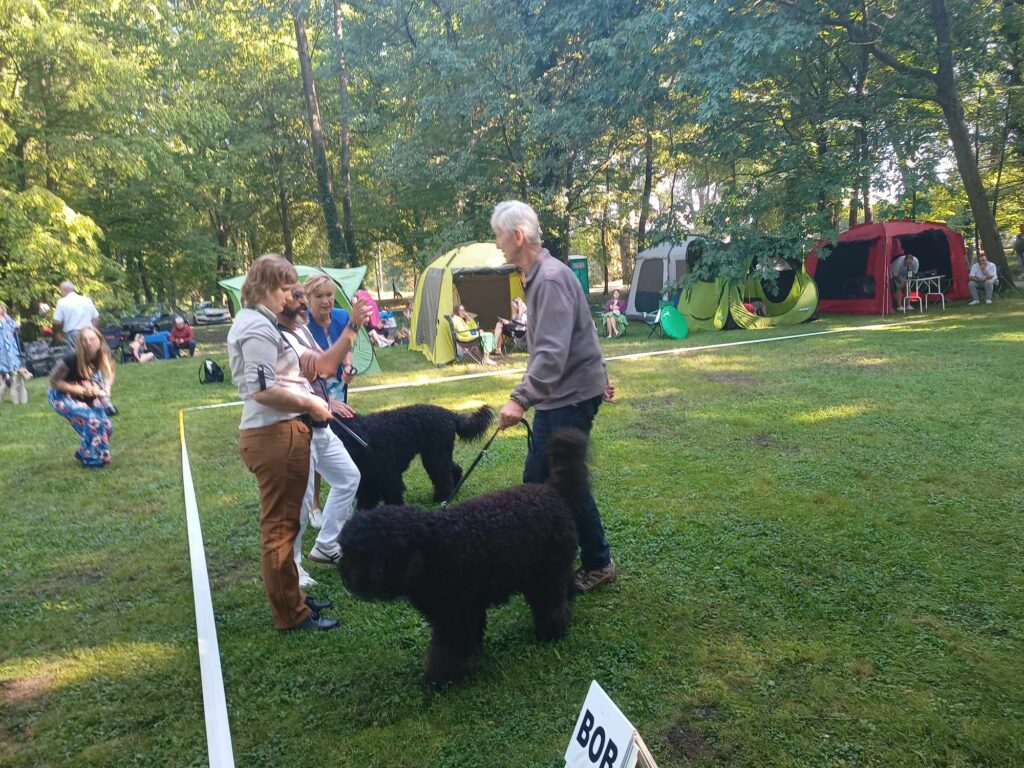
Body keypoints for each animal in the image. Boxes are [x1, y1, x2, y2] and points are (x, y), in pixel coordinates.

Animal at [327, 403, 487, 512]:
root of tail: (450, 414)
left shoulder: (390, 479)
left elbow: (394, 497)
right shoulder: (368, 483)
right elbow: (367, 501)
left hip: (435, 456)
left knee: (443, 476)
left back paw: (442, 497)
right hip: (437, 454)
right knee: (454, 469)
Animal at [339, 430, 589, 688]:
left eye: (362, 554)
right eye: (345, 549)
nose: (345, 576)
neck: (431, 546)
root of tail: (554, 492)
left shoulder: (453, 614)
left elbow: (447, 651)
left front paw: (437, 681)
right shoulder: (467, 608)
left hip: (546, 575)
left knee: (551, 604)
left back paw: (551, 632)